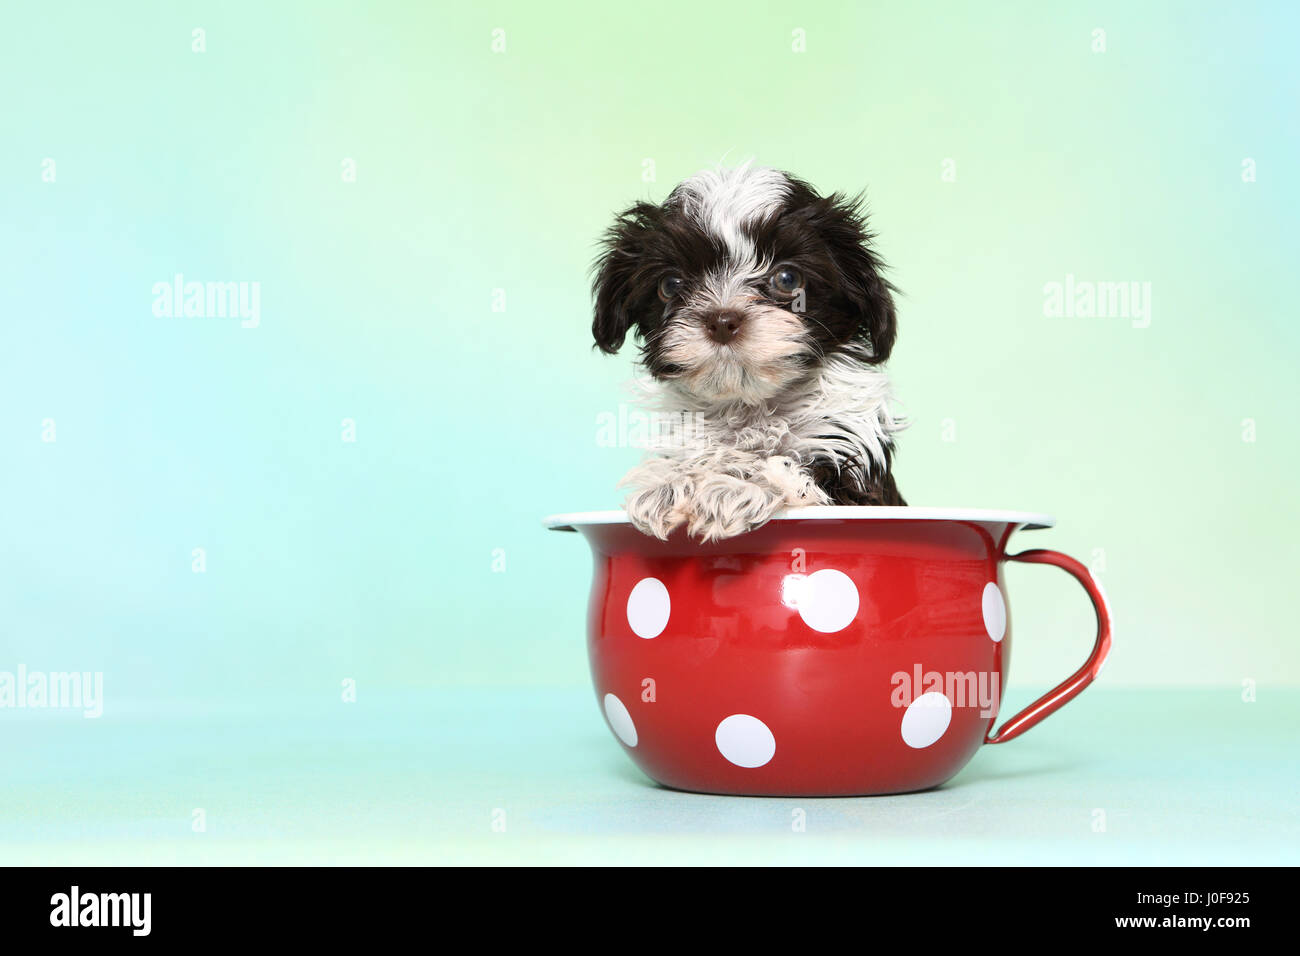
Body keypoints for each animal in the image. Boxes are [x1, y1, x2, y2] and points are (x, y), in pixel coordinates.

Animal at [592, 162, 904, 538]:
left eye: (787, 279)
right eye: (670, 285)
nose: (722, 320)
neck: (747, 406)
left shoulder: (855, 474)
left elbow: (796, 470)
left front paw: (734, 489)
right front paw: (667, 487)